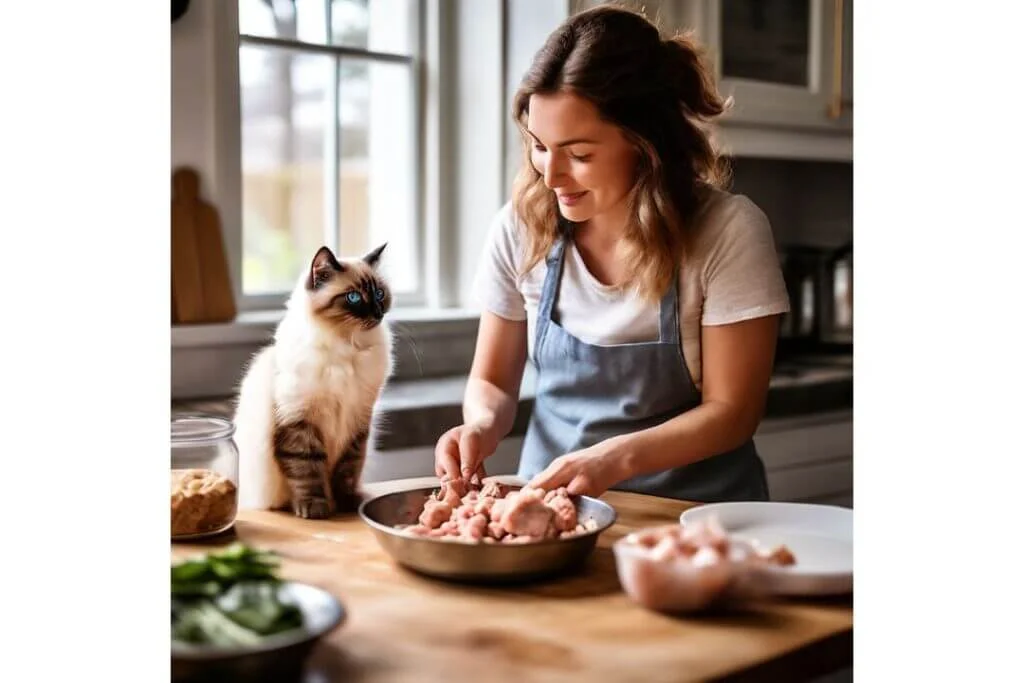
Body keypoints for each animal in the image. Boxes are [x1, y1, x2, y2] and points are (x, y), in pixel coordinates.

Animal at [234, 244, 393, 518]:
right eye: (354, 298)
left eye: (379, 293)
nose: (378, 312)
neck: (347, 346)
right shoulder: (299, 420)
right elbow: (306, 471)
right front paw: (316, 508)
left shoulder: (358, 420)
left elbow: (348, 470)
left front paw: (347, 504)